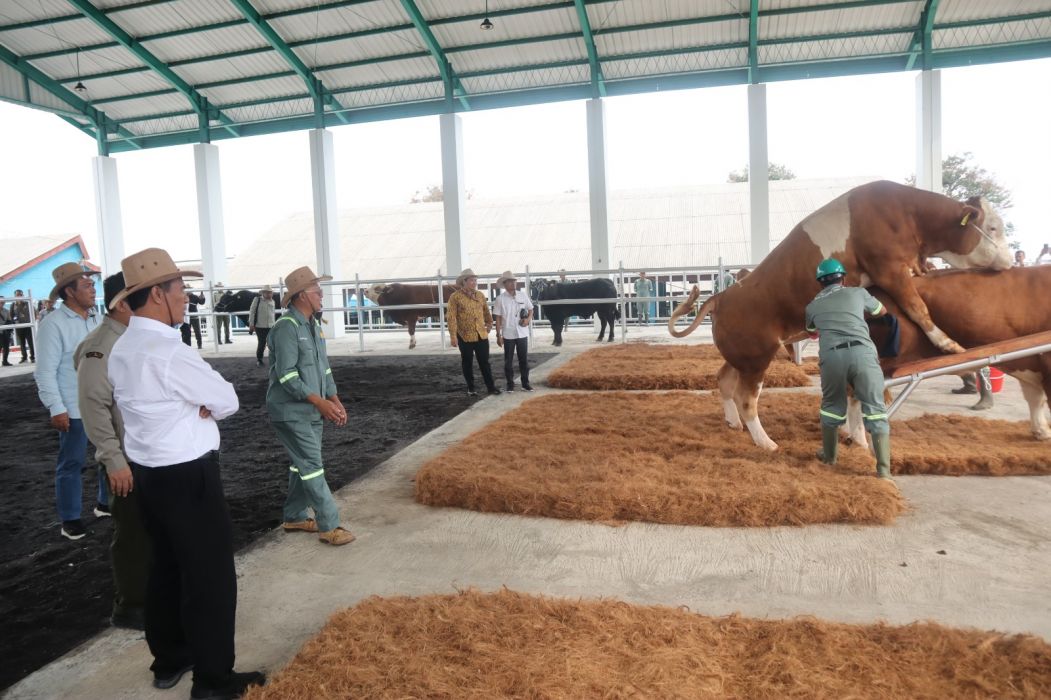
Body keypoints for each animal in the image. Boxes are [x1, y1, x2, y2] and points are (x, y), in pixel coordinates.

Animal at [668, 179, 1013, 449]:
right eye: (993, 227)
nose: (1010, 261)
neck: (905, 213)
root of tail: (723, 296)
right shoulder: (888, 268)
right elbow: (918, 307)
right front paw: (949, 344)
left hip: (742, 355)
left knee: (724, 379)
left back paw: (734, 424)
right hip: (756, 358)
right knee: (746, 398)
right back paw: (766, 442)